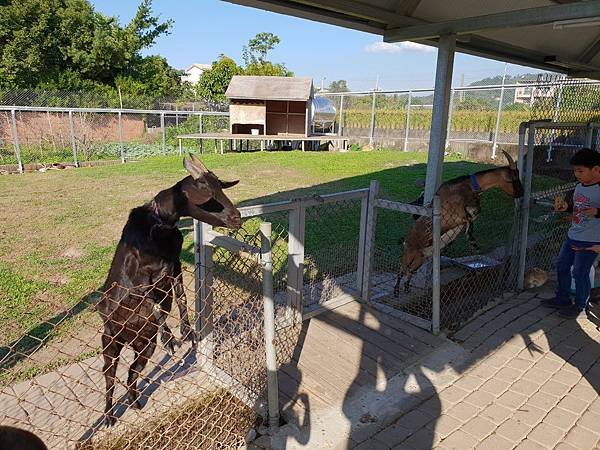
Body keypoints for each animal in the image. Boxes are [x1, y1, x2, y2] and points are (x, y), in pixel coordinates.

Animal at [97, 155, 240, 426]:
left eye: (221, 187)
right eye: (207, 193)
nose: (237, 217)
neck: (158, 225)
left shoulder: (174, 266)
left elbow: (181, 296)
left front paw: (187, 332)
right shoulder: (141, 279)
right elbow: (154, 304)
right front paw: (170, 338)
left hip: (144, 344)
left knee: (132, 371)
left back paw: (135, 402)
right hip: (110, 339)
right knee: (109, 374)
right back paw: (109, 416)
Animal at [394, 152, 520, 296]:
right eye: (515, 178)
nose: (521, 193)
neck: (469, 186)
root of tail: (405, 241)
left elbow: (474, 216)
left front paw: (470, 242)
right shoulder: (457, 213)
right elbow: (470, 217)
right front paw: (471, 240)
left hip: (420, 258)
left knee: (410, 271)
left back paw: (406, 287)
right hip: (410, 254)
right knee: (402, 269)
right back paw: (396, 290)